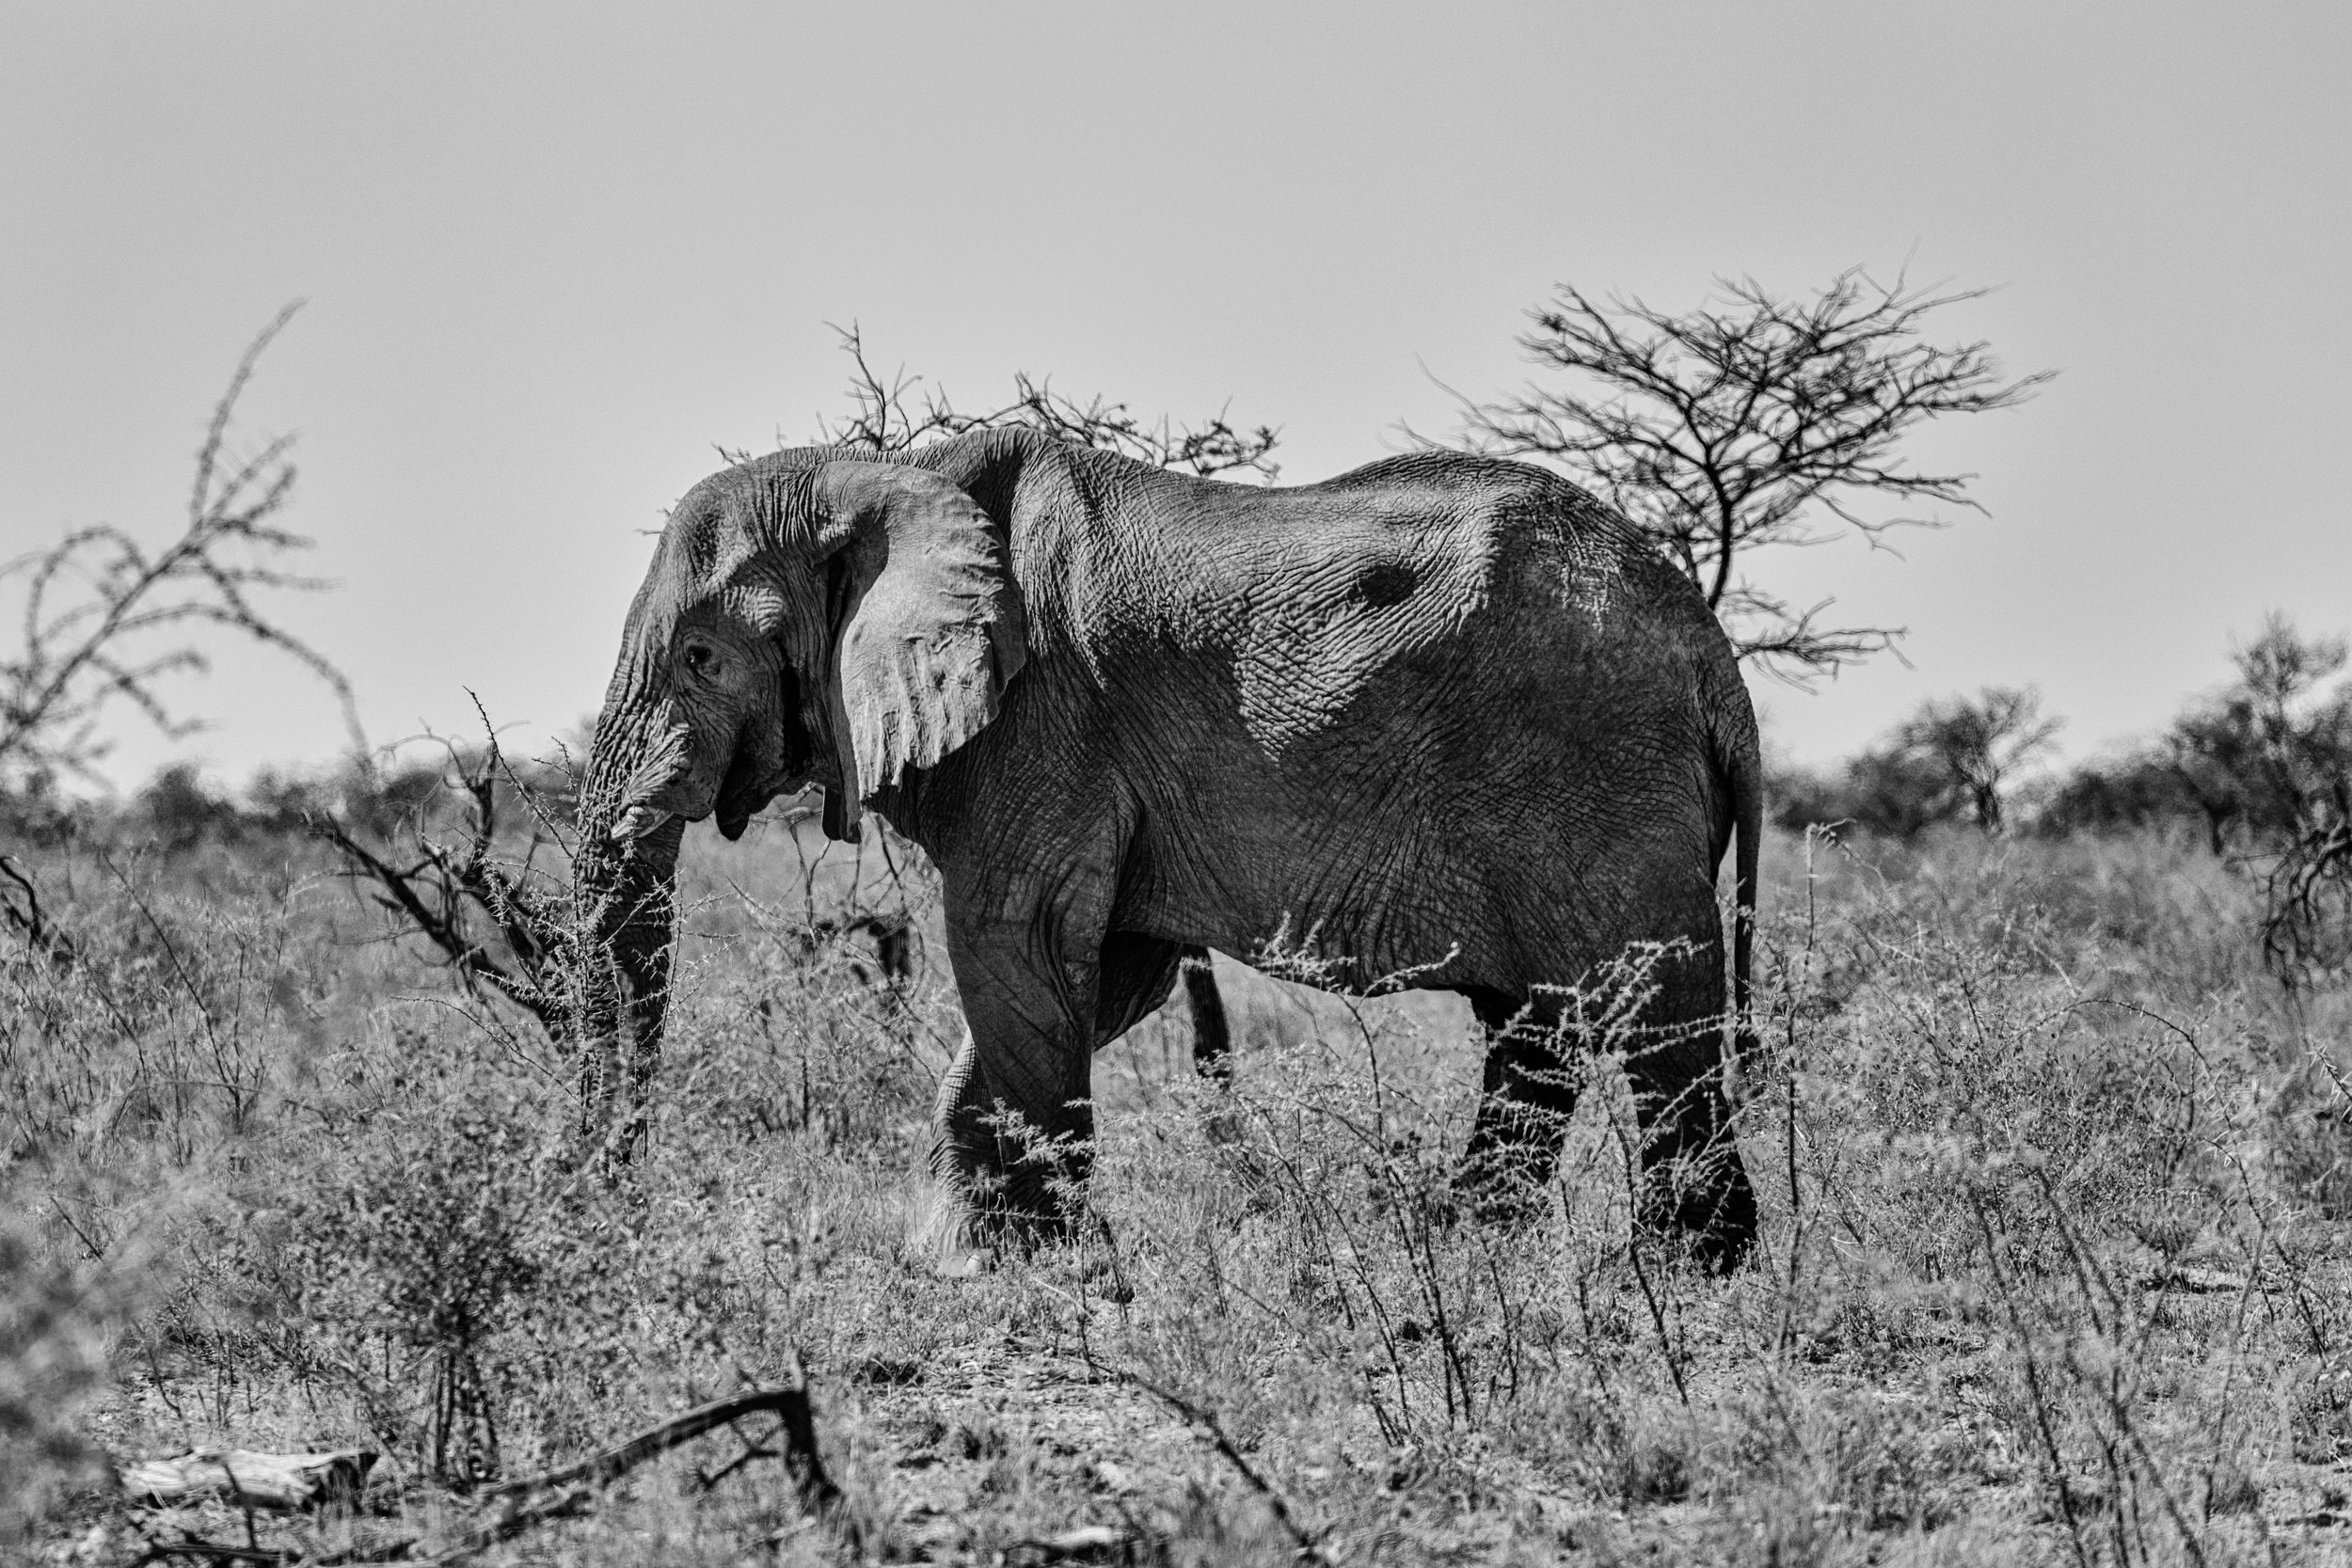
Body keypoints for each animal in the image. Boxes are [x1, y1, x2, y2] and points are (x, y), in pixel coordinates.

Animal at [579, 430, 1769, 1278]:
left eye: (701, 656)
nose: (608, 1211)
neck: (889, 482)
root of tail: (1712, 655)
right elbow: (1105, 972)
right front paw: (965, 1248)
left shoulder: (1043, 725)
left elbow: (1016, 946)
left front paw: (1033, 1264)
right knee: (1535, 1029)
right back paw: (1470, 1248)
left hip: (1601, 774)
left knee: (1653, 1013)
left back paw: (1674, 1272)